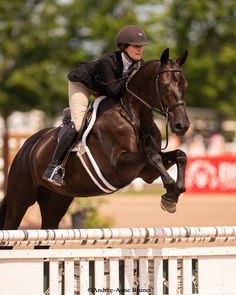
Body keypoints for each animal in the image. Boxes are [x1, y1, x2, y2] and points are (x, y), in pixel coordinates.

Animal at [0, 48, 190, 230]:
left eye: (185, 85)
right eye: (164, 86)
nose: (182, 125)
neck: (134, 119)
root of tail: (27, 145)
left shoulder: (146, 173)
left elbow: (179, 155)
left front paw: (172, 195)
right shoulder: (117, 167)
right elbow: (153, 156)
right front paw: (170, 193)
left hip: (56, 201)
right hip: (20, 199)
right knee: (11, 223)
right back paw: (52, 173)